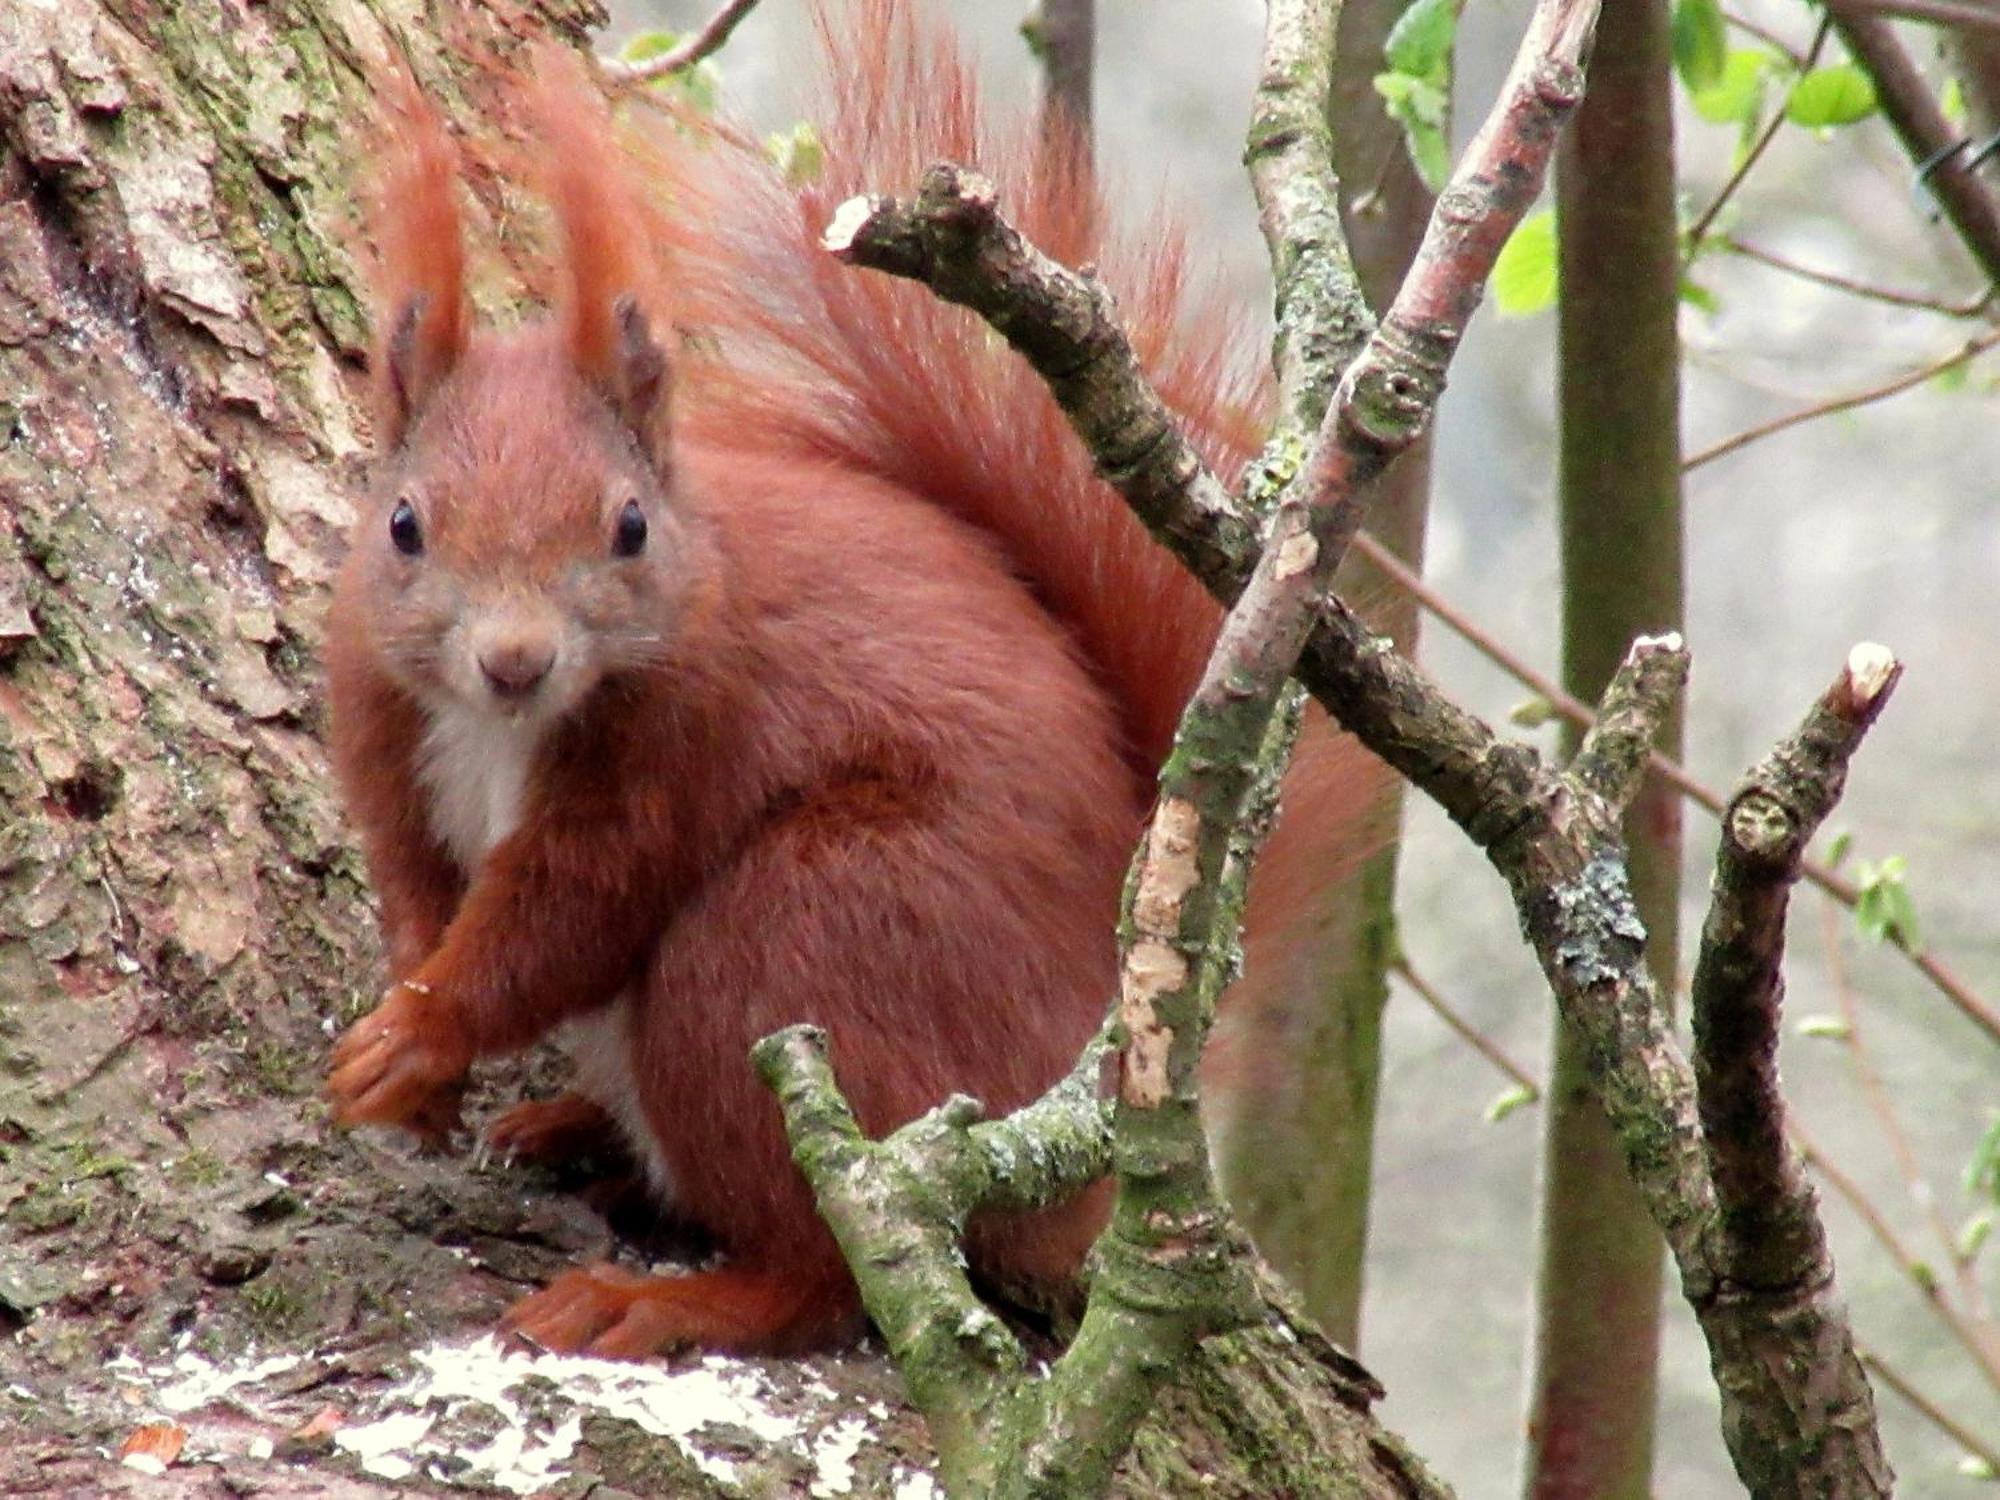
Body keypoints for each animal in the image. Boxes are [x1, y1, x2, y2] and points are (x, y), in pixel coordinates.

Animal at [324, 2, 1376, 1360]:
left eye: (629, 528)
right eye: (402, 526)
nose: (516, 658)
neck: (500, 727)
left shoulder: (678, 742)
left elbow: (563, 916)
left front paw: (423, 1028)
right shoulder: (382, 721)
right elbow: (411, 880)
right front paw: (413, 1047)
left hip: (803, 946)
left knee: (826, 1264)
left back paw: (663, 1297)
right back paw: (568, 1128)